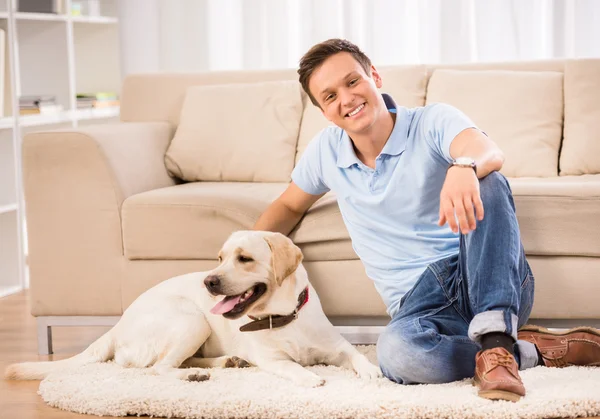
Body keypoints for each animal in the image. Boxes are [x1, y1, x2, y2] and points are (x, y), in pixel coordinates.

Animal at [5, 231, 380, 388]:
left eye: (244, 258)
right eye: (219, 257)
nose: (209, 281)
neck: (285, 318)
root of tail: (117, 326)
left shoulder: (338, 347)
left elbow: (357, 355)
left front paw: (373, 371)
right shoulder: (272, 360)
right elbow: (292, 366)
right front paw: (310, 376)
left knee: (181, 360)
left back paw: (223, 362)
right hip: (191, 319)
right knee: (160, 367)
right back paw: (192, 375)